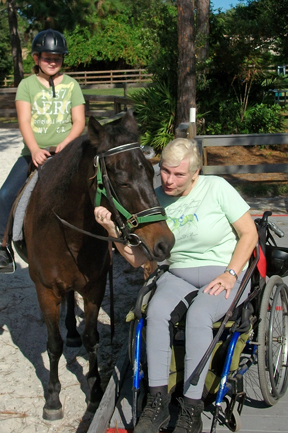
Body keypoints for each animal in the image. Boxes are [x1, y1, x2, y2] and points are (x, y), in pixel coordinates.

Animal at [14, 110, 173, 418]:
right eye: (122, 181)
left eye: (151, 173)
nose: (165, 242)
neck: (66, 230)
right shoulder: (45, 291)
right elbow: (53, 345)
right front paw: (53, 399)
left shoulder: (95, 287)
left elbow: (92, 338)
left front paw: (96, 389)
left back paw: (72, 331)